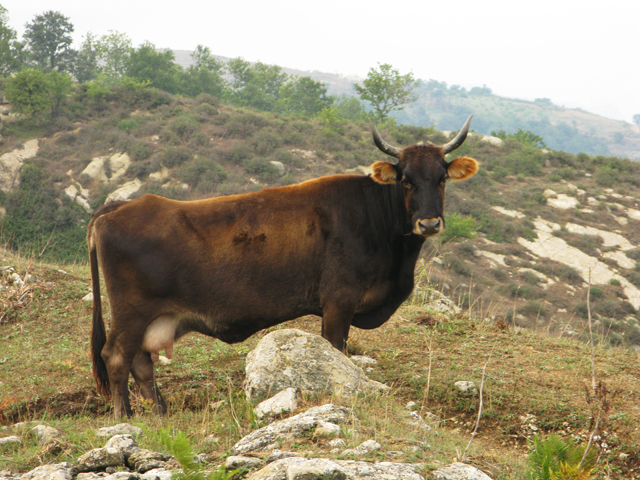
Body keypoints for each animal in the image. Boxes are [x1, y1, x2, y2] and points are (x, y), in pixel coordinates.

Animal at [88, 116, 478, 417]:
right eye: (406, 180)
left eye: (442, 178)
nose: (429, 223)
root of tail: (121, 206)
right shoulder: (339, 300)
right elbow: (336, 351)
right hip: (131, 312)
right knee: (117, 357)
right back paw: (124, 417)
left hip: (152, 318)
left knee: (141, 362)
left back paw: (161, 414)